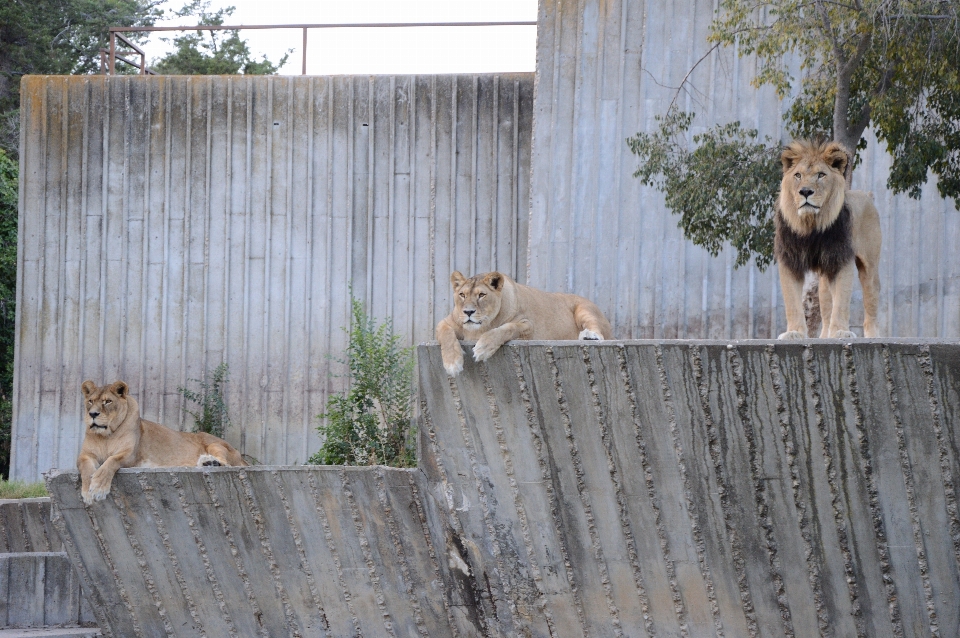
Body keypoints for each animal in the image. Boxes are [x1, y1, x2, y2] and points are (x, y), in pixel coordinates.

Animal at [77, 380, 246, 504]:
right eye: (90, 401)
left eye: (107, 401)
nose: (93, 414)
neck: (106, 436)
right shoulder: (85, 455)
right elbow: (85, 468)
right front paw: (87, 492)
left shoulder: (129, 455)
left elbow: (111, 462)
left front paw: (98, 488)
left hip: (214, 444)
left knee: (228, 464)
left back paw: (211, 462)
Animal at [436, 272, 612, 380]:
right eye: (462, 295)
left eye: (481, 295)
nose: (468, 312)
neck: (481, 327)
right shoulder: (445, 322)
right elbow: (446, 335)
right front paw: (452, 363)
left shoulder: (528, 325)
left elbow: (506, 329)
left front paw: (483, 348)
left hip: (584, 309)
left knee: (599, 331)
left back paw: (589, 336)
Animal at [776, 140, 880, 340]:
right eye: (798, 175)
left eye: (821, 175)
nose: (805, 191)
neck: (811, 225)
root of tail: (867, 195)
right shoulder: (790, 260)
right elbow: (792, 302)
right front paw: (794, 333)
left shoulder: (841, 259)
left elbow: (841, 302)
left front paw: (841, 332)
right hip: (823, 276)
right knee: (825, 307)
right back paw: (824, 336)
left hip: (869, 266)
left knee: (871, 300)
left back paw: (873, 336)